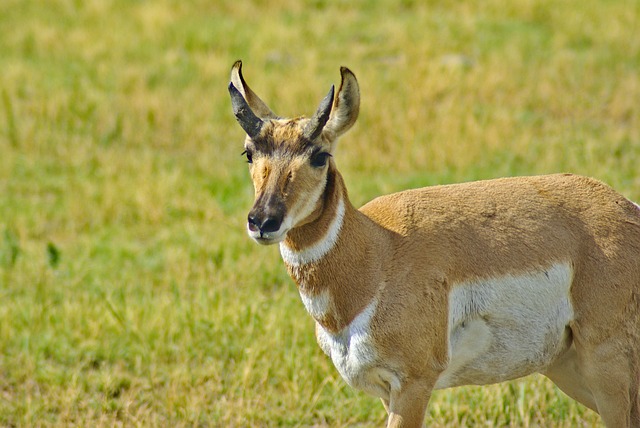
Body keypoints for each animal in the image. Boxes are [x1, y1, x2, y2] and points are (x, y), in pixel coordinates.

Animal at [227, 60, 640, 427]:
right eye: (249, 152)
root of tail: (626, 210)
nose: (263, 221)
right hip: (568, 369)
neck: (378, 251)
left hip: (607, 368)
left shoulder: (413, 383)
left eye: (320, 155)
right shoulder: (385, 391)